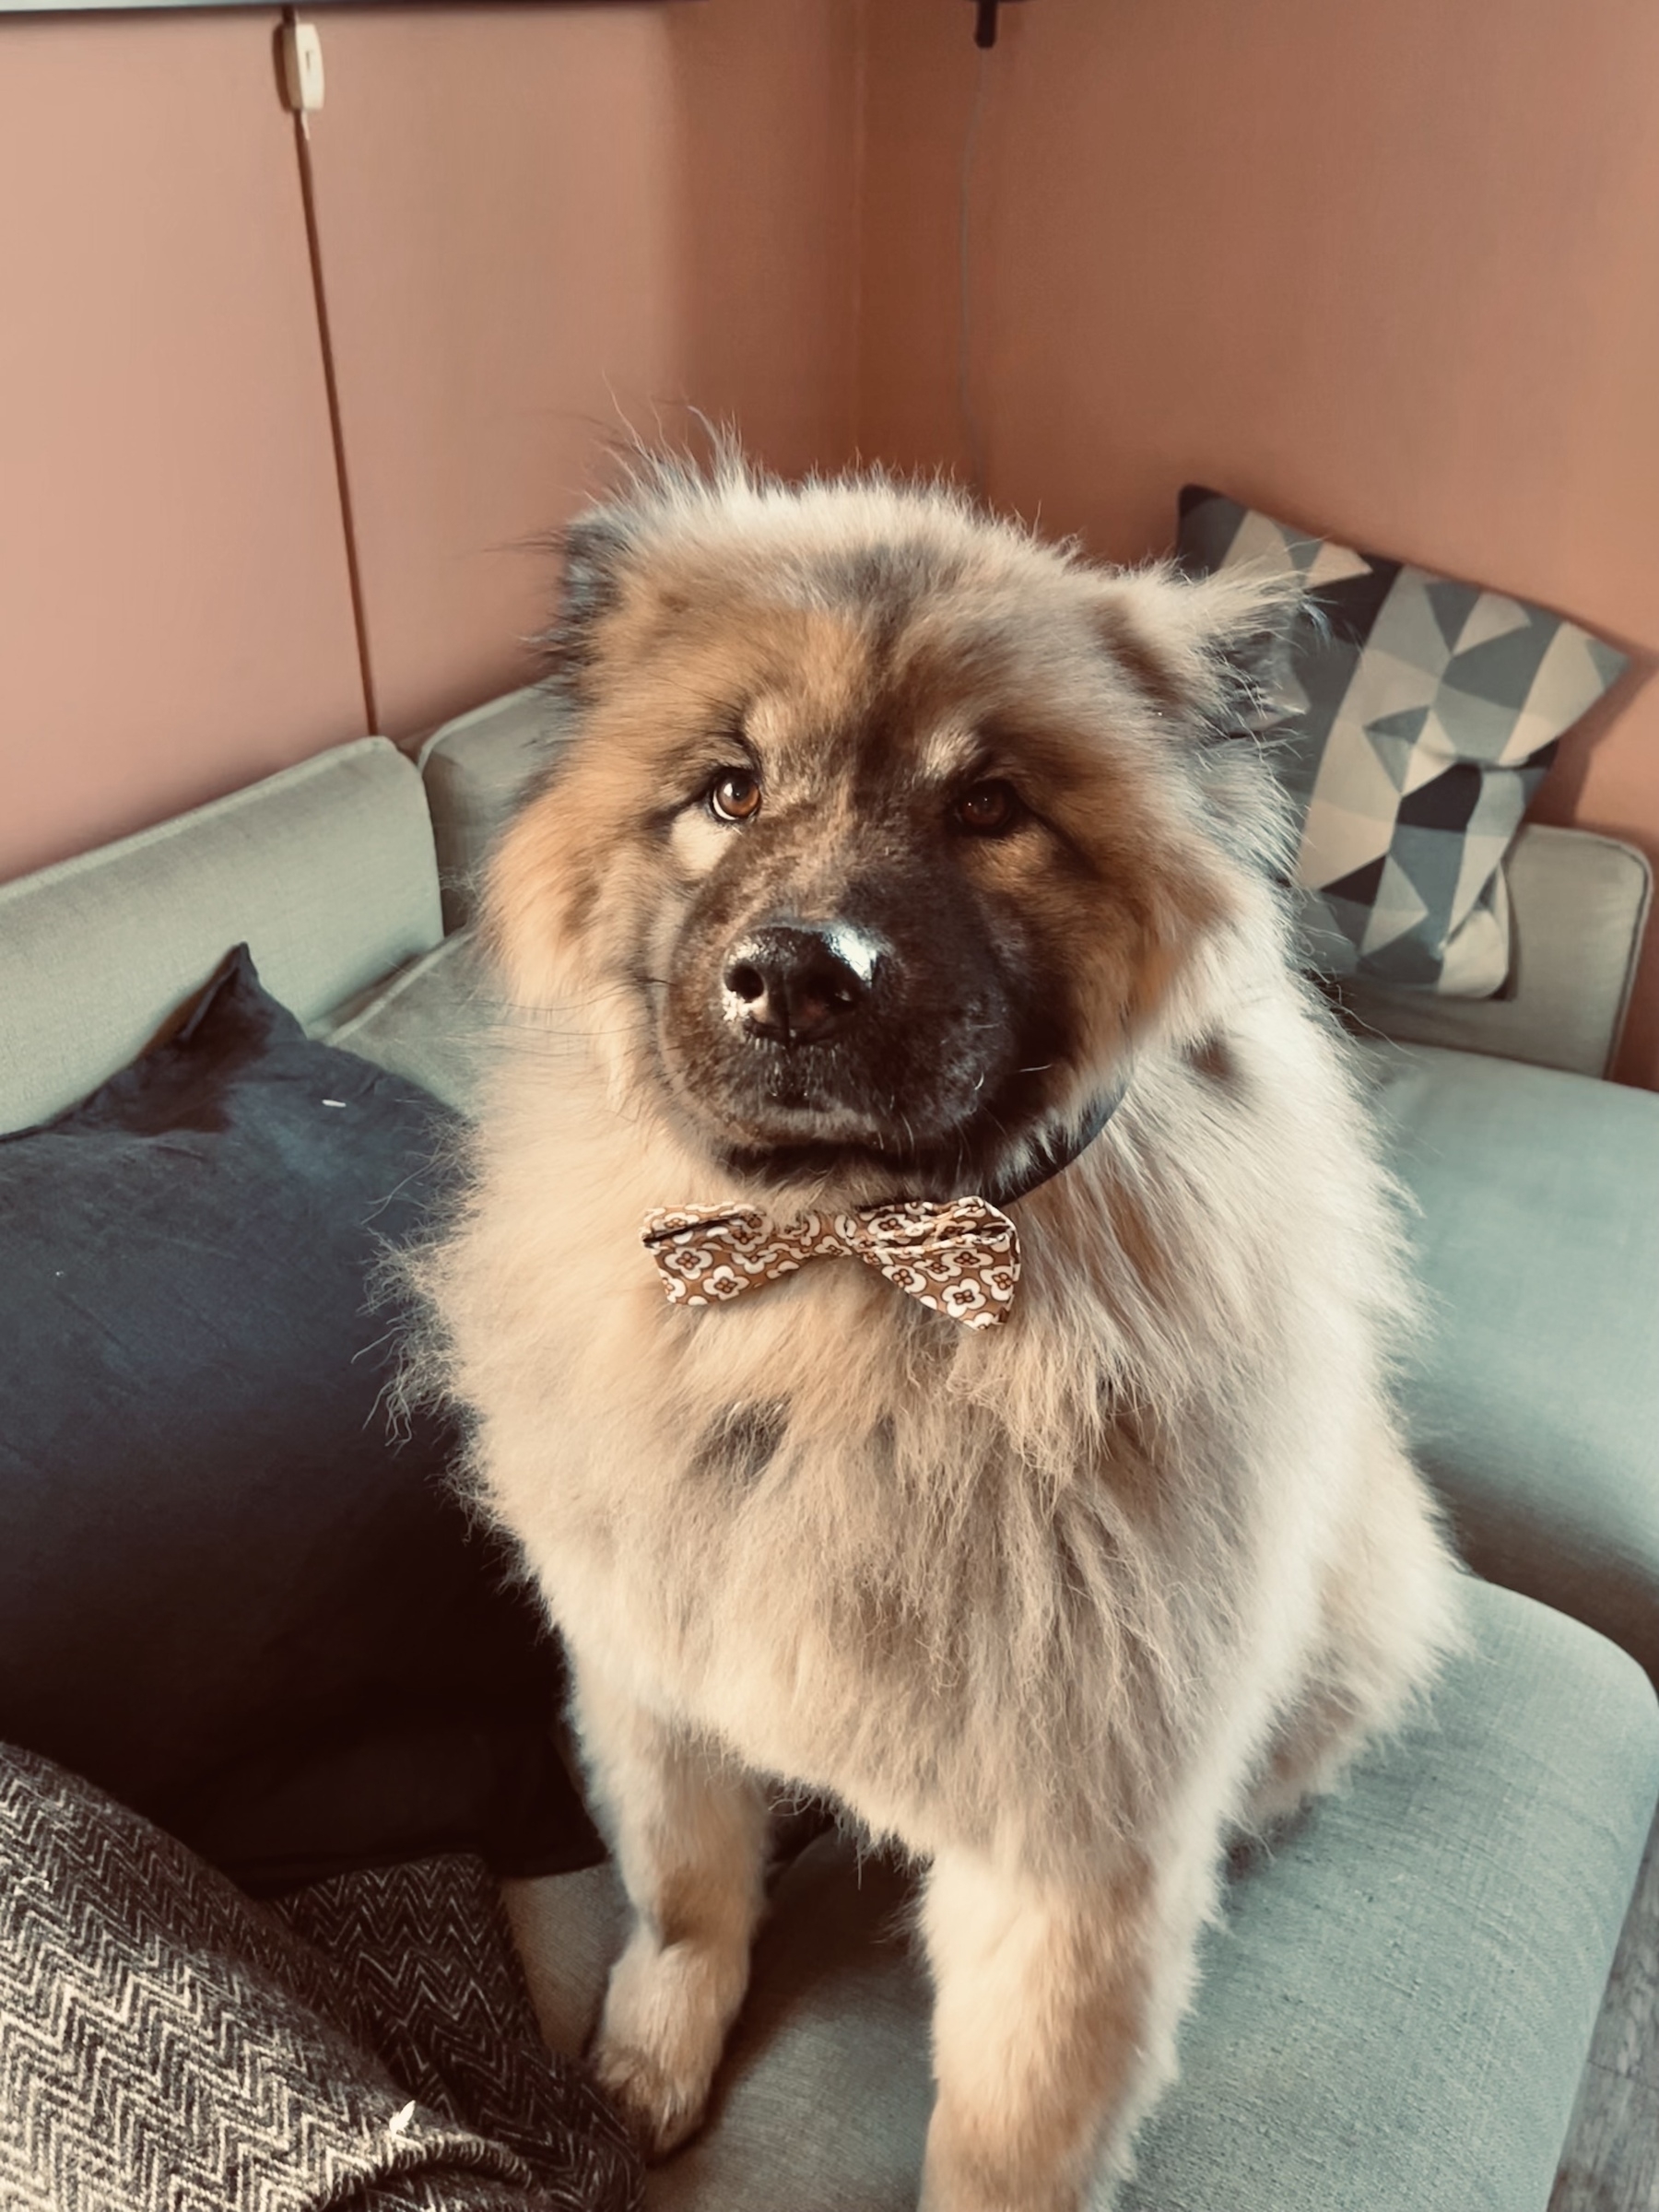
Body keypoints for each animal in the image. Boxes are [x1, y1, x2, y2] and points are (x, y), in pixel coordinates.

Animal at [409, 457, 1460, 2203]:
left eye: (989, 809)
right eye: (728, 792)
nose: (792, 975)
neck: (844, 1283)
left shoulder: (1067, 1853)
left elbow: (1006, 2137)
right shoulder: (651, 1673)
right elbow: (685, 1896)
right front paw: (643, 2065)